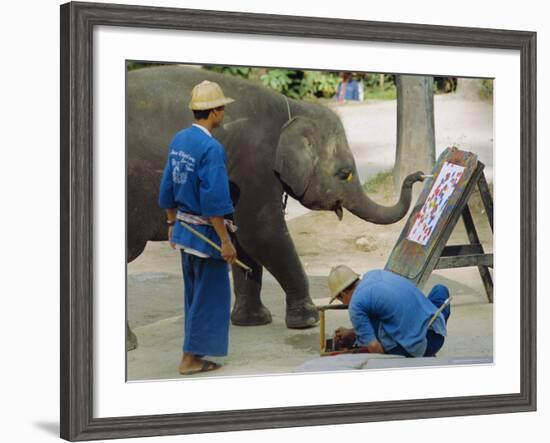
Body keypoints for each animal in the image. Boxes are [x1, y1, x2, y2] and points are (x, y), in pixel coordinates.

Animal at [127, 64, 424, 332]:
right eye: (345, 174)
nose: (419, 175)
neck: (294, 109)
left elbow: (241, 240)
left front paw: (253, 321)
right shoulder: (253, 165)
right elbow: (261, 233)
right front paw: (308, 320)